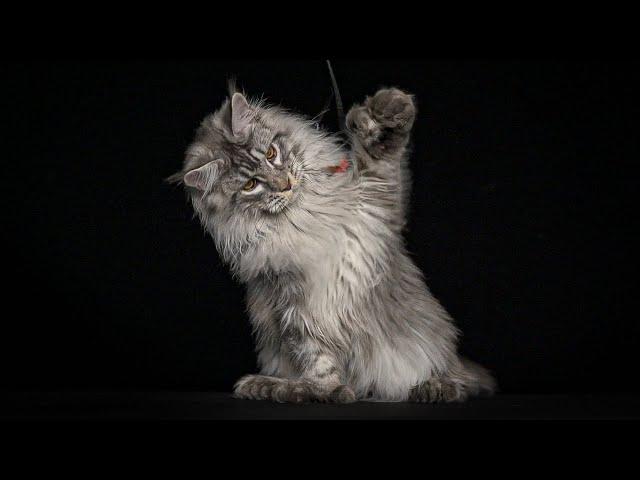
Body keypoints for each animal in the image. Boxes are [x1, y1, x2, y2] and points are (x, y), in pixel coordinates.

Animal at [169, 81, 496, 402]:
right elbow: (317, 358)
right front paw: (326, 391)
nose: (285, 185)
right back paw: (273, 387)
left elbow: (380, 155)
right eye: (250, 185)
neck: (302, 217)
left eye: (271, 154)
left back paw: (434, 387)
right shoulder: (291, 301)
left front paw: (387, 109)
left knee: (463, 379)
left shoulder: (374, 205)